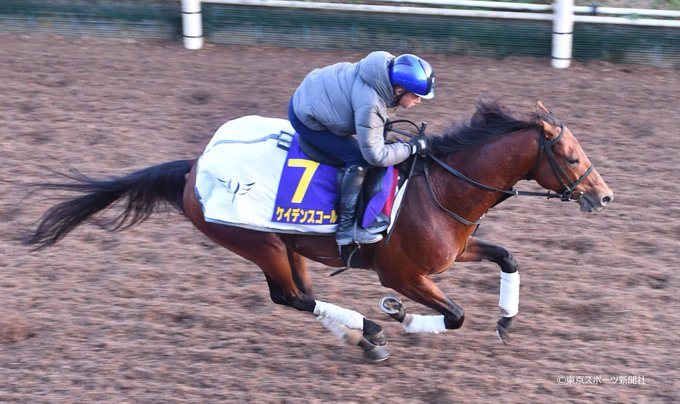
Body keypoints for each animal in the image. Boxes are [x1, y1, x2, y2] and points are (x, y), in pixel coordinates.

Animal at [25, 100, 613, 362]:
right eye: (568, 155)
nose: (603, 195)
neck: (440, 189)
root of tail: (193, 169)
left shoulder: (450, 255)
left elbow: (508, 256)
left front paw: (507, 321)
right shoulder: (402, 273)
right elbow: (455, 315)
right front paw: (397, 316)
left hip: (291, 245)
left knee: (300, 295)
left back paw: (359, 335)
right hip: (258, 242)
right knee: (289, 297)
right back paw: (370, 331)